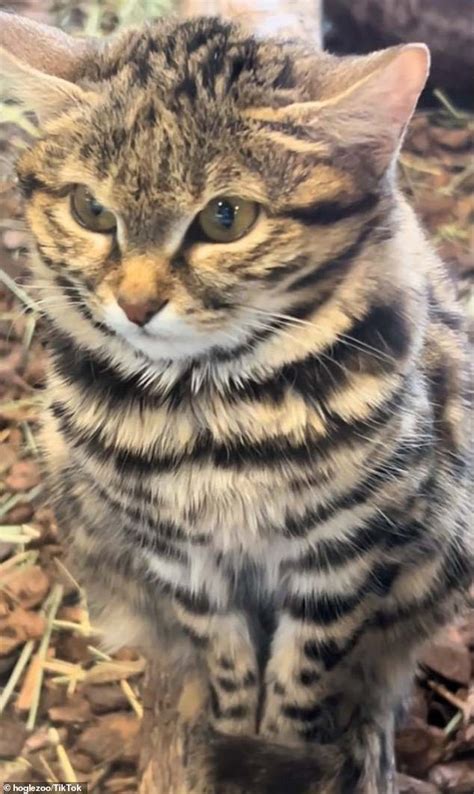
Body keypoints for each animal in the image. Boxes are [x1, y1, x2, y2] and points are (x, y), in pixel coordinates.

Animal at [1, 12, 472, 792]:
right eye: (90, 209)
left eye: (226, 218)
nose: (135, 305)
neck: (210, 409)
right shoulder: (178, 554)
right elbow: (224, 657)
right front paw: (225, 726)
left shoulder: (342, 553)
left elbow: (303, 675)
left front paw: (277, 749)